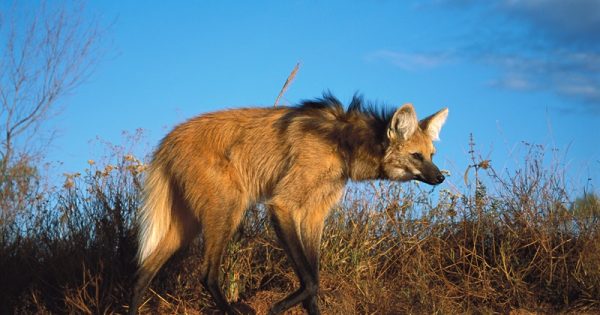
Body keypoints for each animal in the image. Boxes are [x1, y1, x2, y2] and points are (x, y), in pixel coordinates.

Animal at [132, 92, 450, 314]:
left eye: (432, 155)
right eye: (416, 156)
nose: (440, 177)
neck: (343, 143)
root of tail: (169, 140)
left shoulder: (313, 214)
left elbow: (314, 277)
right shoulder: (284, 205)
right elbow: (310, 279)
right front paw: (277, 307)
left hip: (186, 225)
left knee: (142, 273)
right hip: (227, 210)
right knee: (207, 275)